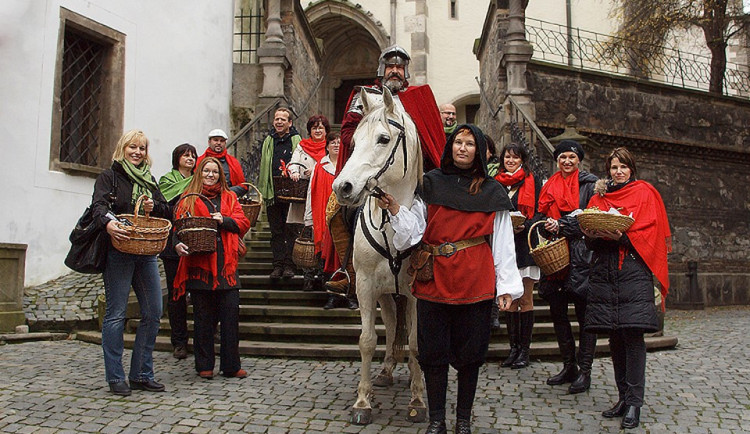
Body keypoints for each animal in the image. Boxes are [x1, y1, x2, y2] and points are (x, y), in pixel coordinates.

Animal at [334, 86, 428, 426]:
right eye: (354, 140)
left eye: (384, 138)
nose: (342, 187)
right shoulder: (364, 285)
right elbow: (367, 340)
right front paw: (362, 402)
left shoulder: (417, 293)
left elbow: (416, 343)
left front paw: (418, 399)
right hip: (386, 293)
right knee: (389, 323)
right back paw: (386, 371)